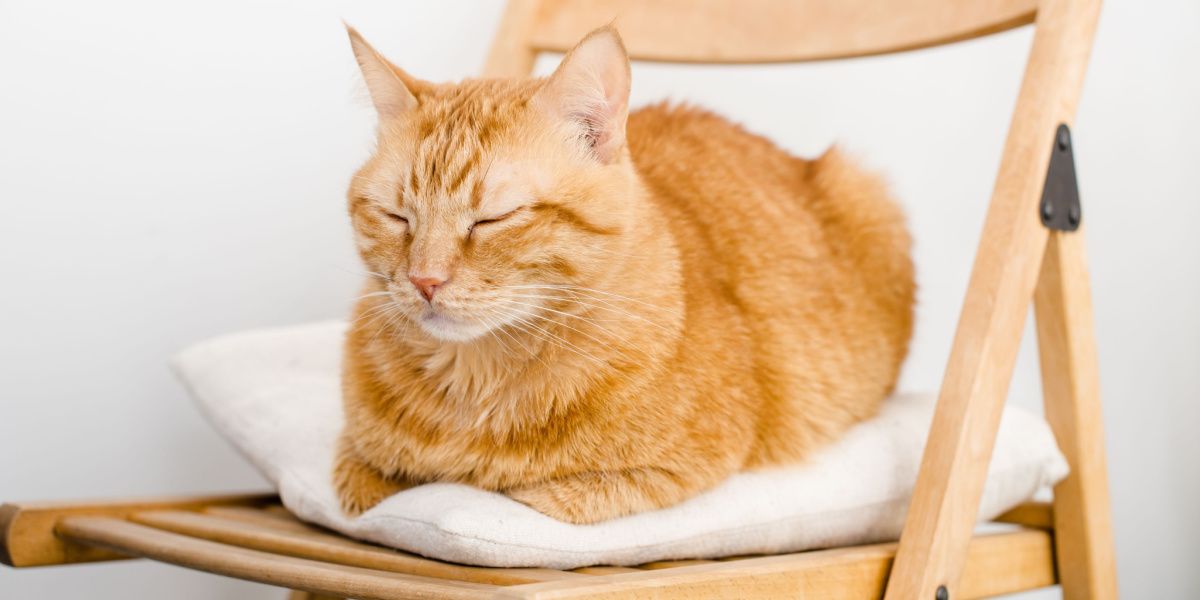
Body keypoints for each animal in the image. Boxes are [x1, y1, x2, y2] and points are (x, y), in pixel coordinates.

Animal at [333, 25, 912, 523]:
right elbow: (367, 482)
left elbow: (521, 492)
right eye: (397, 216)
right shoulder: (350, 463)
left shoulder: (659, 475)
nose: (425, 281)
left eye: (493, 218)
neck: (473, 381)